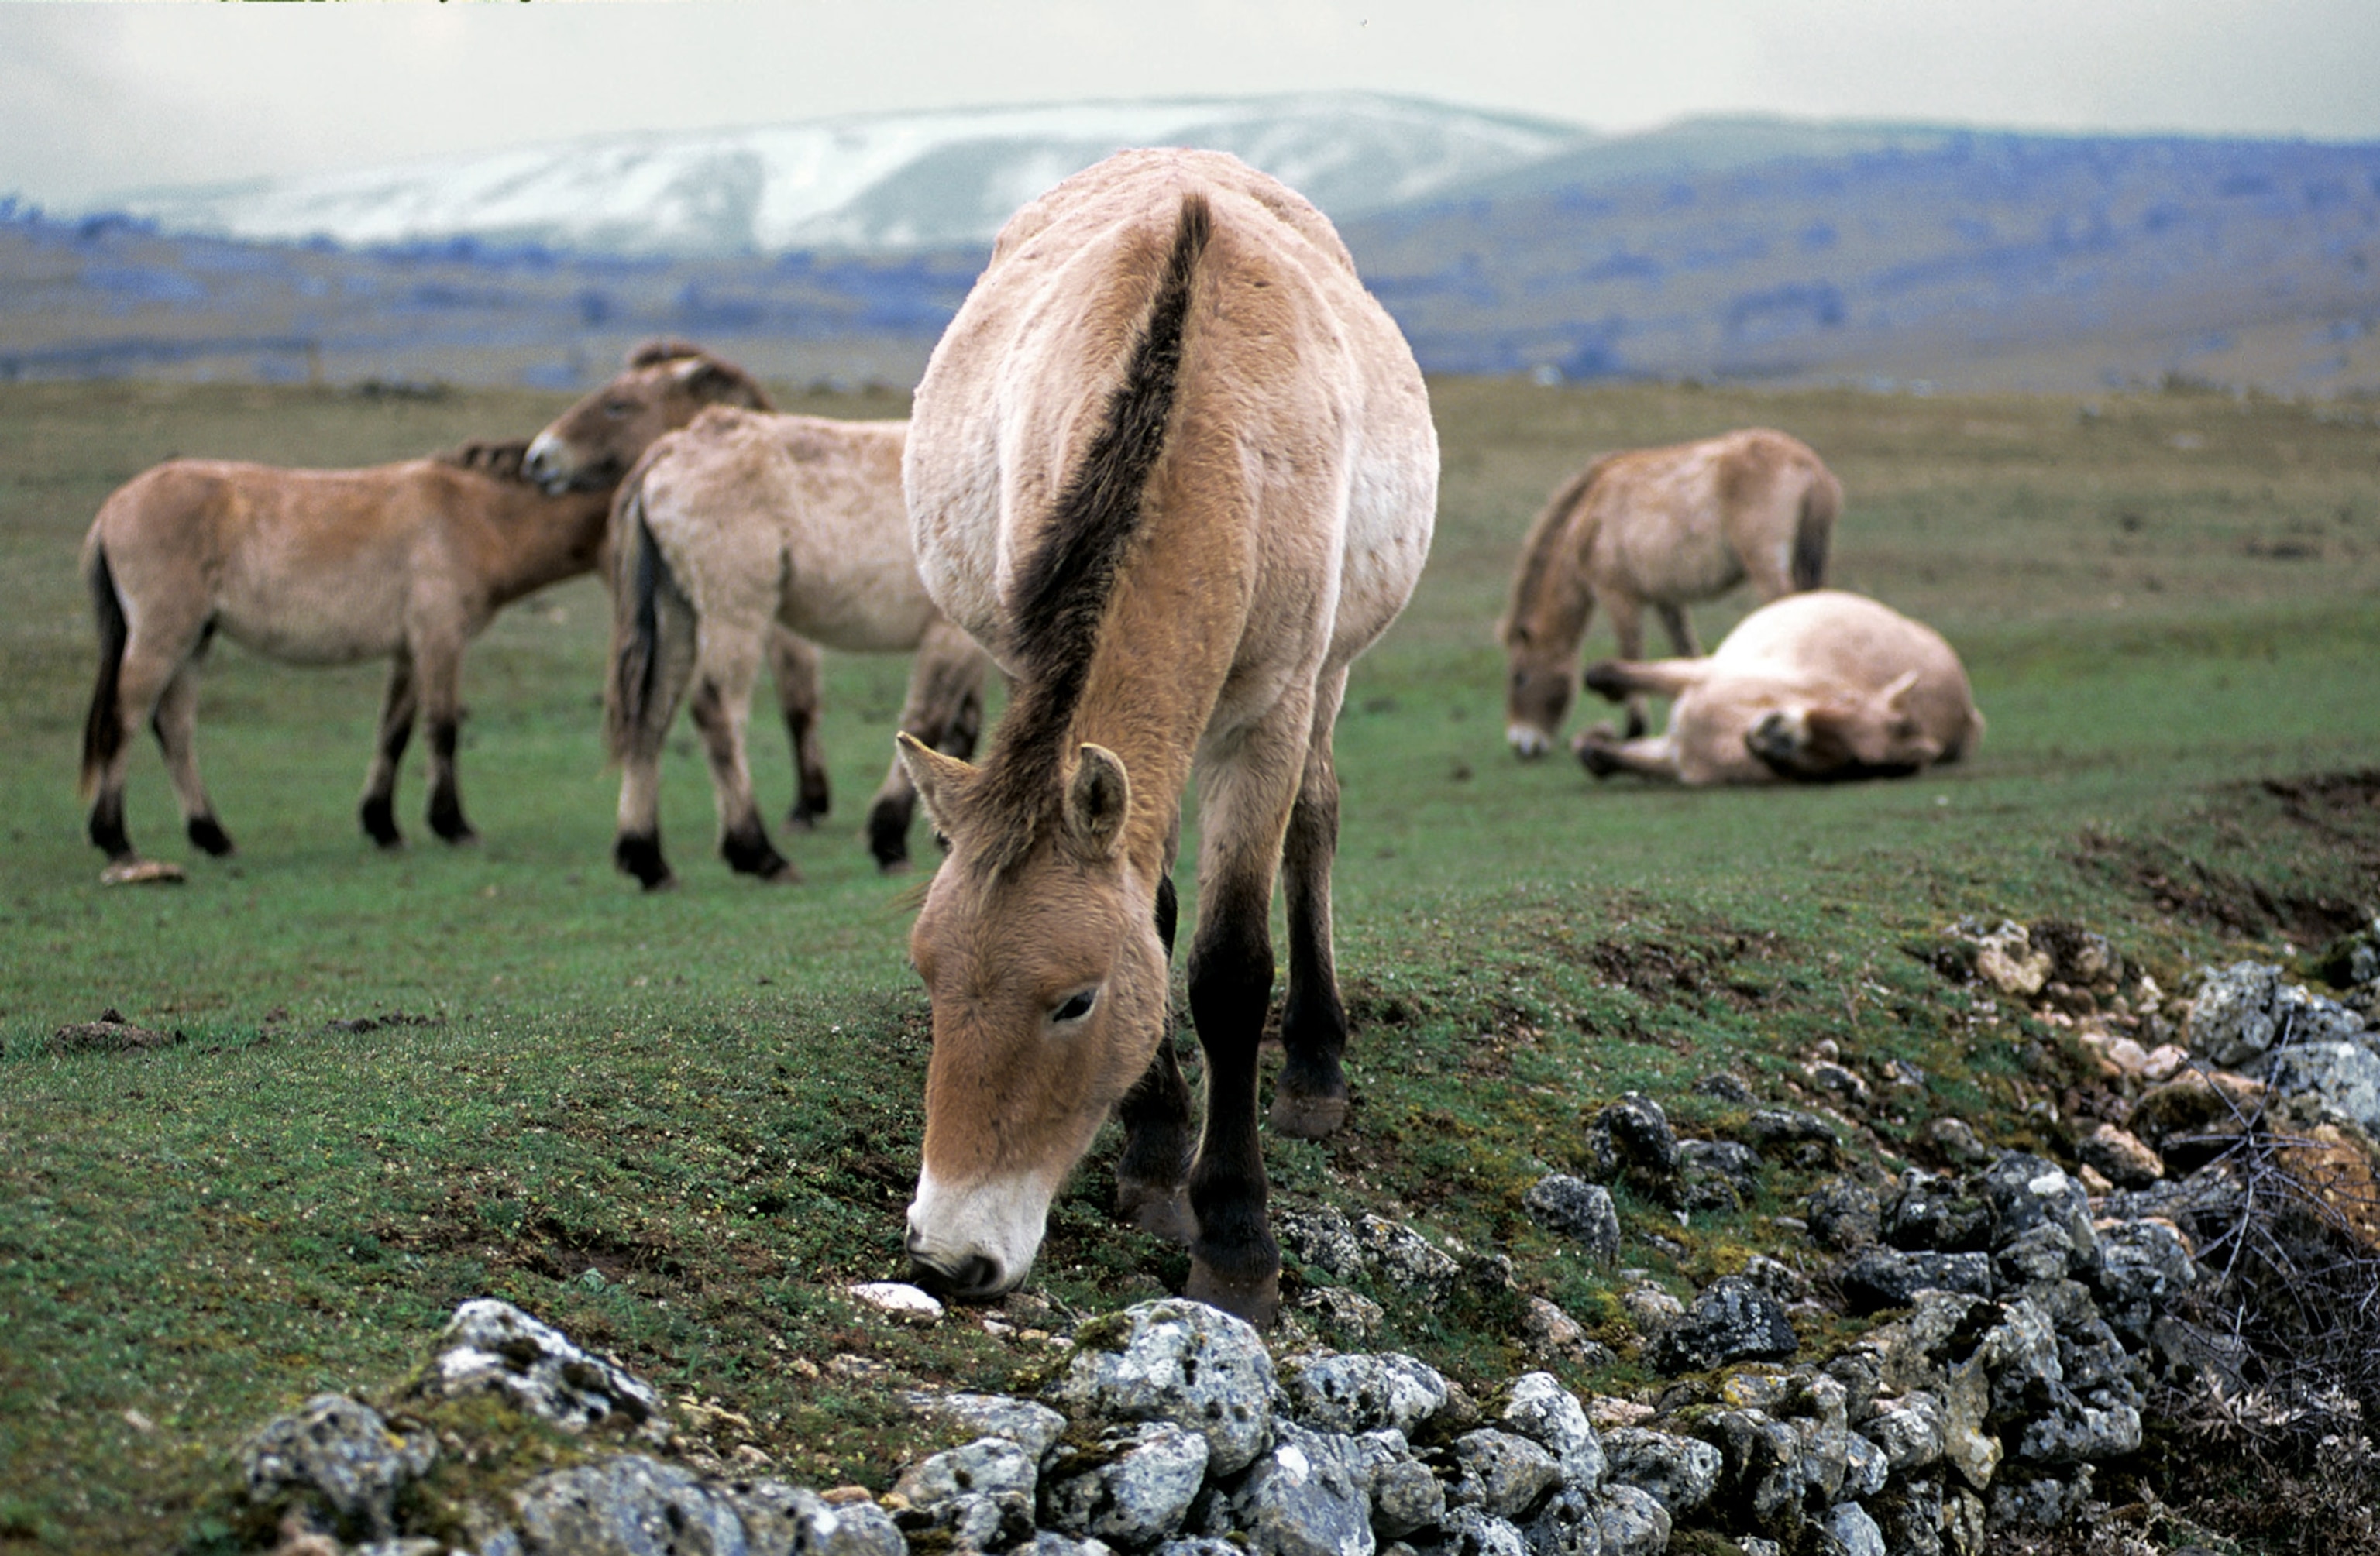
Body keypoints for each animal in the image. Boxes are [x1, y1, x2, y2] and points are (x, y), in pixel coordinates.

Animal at [78, 439, 612, 882]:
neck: (473, 515)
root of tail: (112, 508)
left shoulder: (409, 651)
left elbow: (393, 734)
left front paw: (383, 827)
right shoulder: (439, 640)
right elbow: (442, 728)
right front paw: (454, 826)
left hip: (195, 641)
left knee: (174, 729)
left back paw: (213, 837)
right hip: (163, 637)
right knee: (123, 722)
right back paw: (117, 842)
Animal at [602, 407, 990, 887]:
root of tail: (675, 446)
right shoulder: (952, 639)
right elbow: (930, 721)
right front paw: (888, 840)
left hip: (676, 613)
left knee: (650, 717)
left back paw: (646, 859)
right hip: (734, 613)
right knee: (717, 713)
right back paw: (758, 853)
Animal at [893, 148, 1437, 1326]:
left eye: (1075, 1001)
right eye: (930, 976)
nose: (949, 1257)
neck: (1208, 419)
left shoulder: (1270, 712)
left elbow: (1230, 968)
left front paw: (1236, 1240)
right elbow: (1152, 910)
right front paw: (1152, 1152)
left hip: (1330, 677)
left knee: (1314, 828)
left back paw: (1315, 1069)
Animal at [1501, 428, 1840, 756]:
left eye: (1520, 677)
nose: (1522, 743)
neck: (1590, 513)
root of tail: (1807, 464)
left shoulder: (1619, 598)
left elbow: (1631, 651)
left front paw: (1635, 728)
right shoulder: (1668, 602)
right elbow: (1686, 653)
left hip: (1767, 570)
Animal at [1575, 590, 1983, 786]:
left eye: (1857, 764)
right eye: (1845, 699)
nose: (1778, 734)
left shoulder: (1675, 757)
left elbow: (1600, 754)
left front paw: (1596, 737)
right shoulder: (1703, 675)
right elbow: (1612, 678)